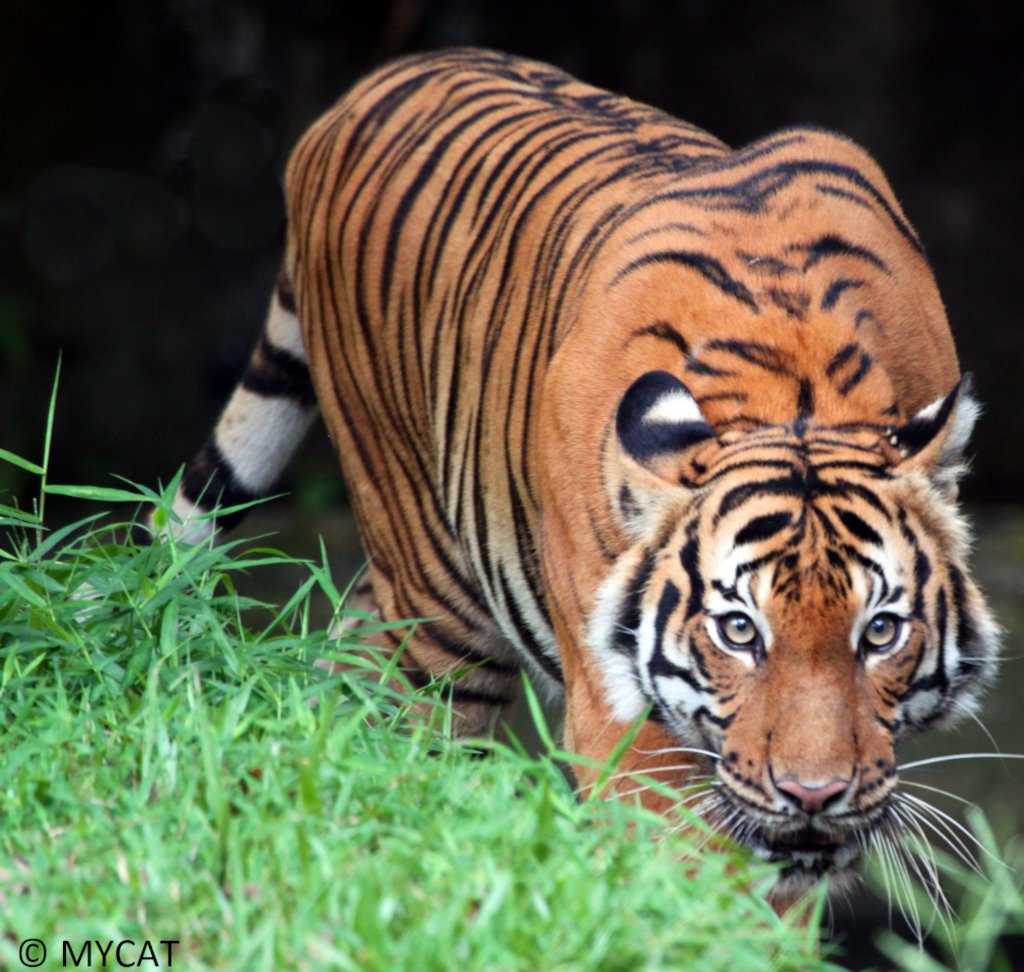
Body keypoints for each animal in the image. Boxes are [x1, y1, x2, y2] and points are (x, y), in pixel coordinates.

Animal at [151, 47, 999, 901]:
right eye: (738, 630)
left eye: (881, 630)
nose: (813, 795)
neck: (793, 393)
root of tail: (370, 87)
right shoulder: (624, 720)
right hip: (436, 603)